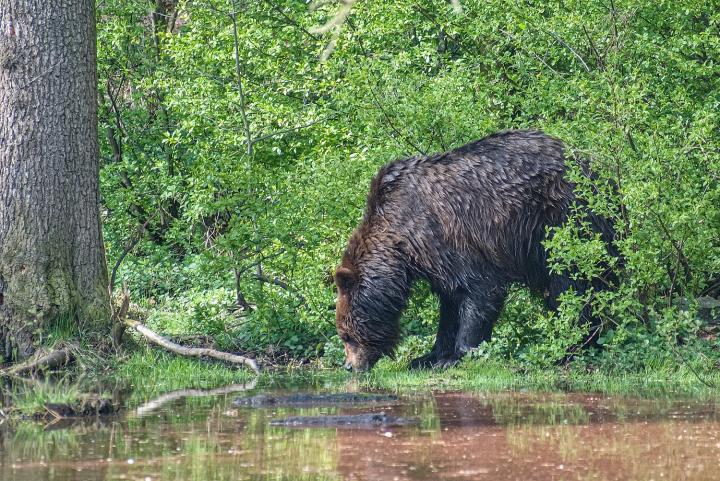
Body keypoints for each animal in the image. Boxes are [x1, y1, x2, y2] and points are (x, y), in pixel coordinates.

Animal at [334, 130, 616, 372]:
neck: (402, 243)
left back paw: (570, 347)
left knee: (572, 284)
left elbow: (480, 290)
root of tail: (598, 170)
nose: (349, 366)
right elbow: (450, 304)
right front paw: (428, 356)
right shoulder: (435, 261)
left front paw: (456, 355)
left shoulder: (449, 236)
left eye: (346, 335)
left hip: (563, 220)